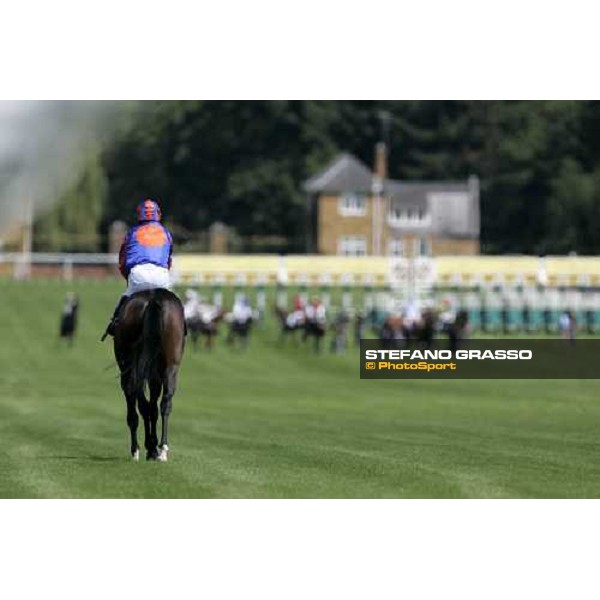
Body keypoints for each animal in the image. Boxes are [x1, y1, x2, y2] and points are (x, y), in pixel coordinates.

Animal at [112, 288, 185, 462]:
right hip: (171, 365)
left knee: (141, 403)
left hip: (133, 367)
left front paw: (140, 449)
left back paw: (147, 448)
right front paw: (153, 446)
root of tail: (154, 299)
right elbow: (153, 406)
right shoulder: (155, 374)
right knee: (165, 402)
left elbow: (138, 408)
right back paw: (162, 448)